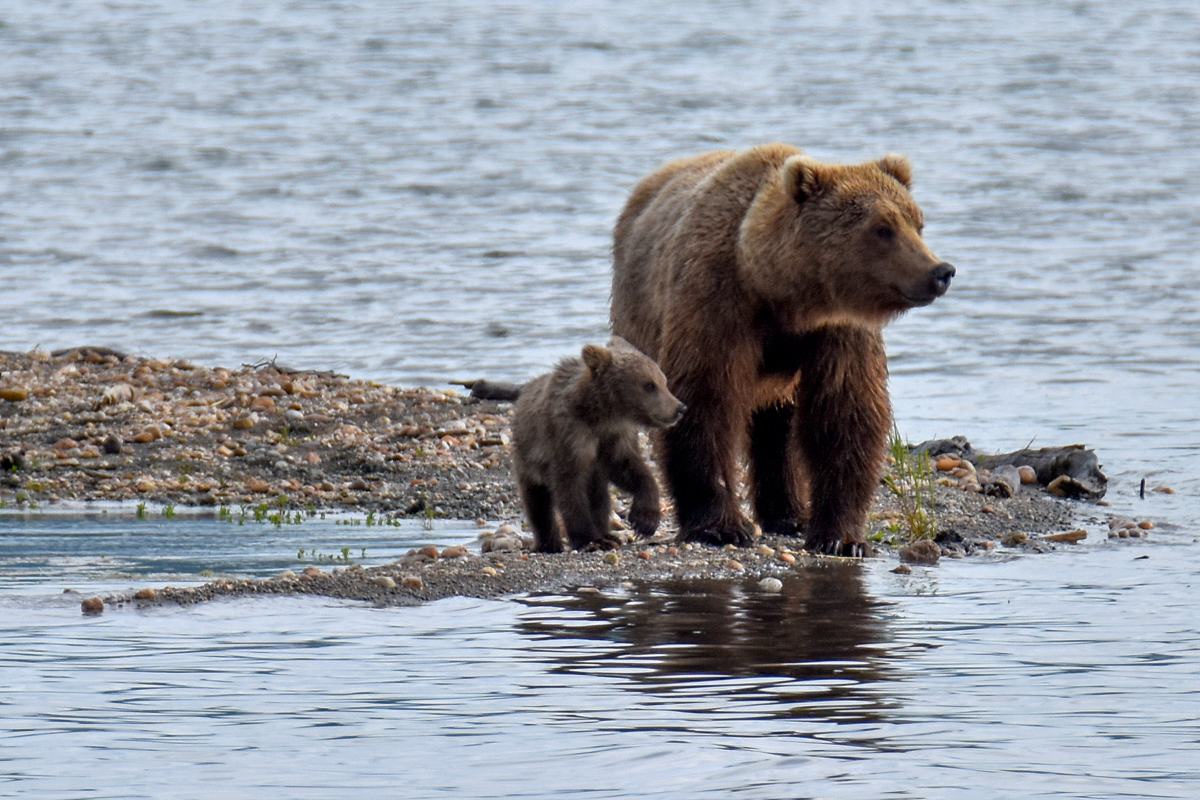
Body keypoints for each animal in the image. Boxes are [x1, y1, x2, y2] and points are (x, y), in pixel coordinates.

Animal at [614, 143, 950, 556]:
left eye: (917, 223)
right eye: (882, 228)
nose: (941, 271)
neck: (781, 293)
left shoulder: (838, 331)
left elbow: (845, 413)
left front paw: (841, 536)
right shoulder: (717, 306)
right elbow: (704, 402)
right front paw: (720, 527)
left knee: (777, 430)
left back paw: (789, 515)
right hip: (637, 313)